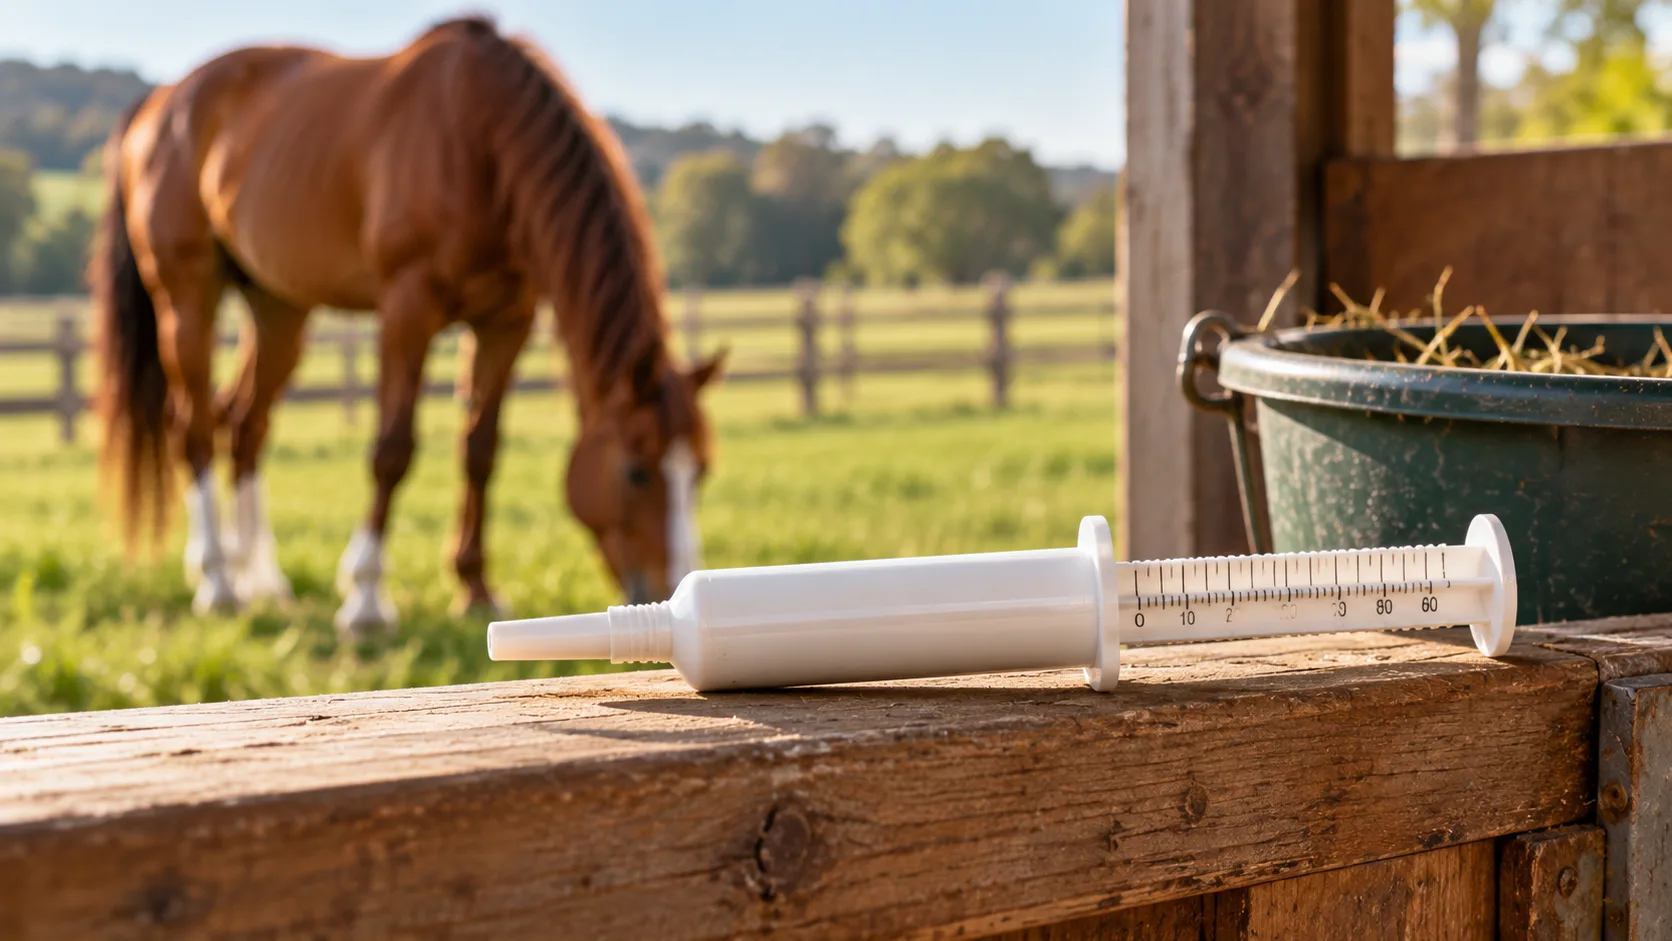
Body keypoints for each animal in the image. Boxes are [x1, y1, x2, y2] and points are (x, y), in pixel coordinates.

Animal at [91, 16, 725, 635]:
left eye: (701, 471)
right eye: (637, 472)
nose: (671, 588)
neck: (481, 139)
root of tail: (162, 101)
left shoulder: (506, 322)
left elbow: (480, 449)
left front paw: (475, 588)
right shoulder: (407, 309)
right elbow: (393, 449)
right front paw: (366, 597)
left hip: (278, 309)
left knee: (244, 424)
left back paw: (261, 579)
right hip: (186, 296)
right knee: (194, 426)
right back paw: (218, 581)